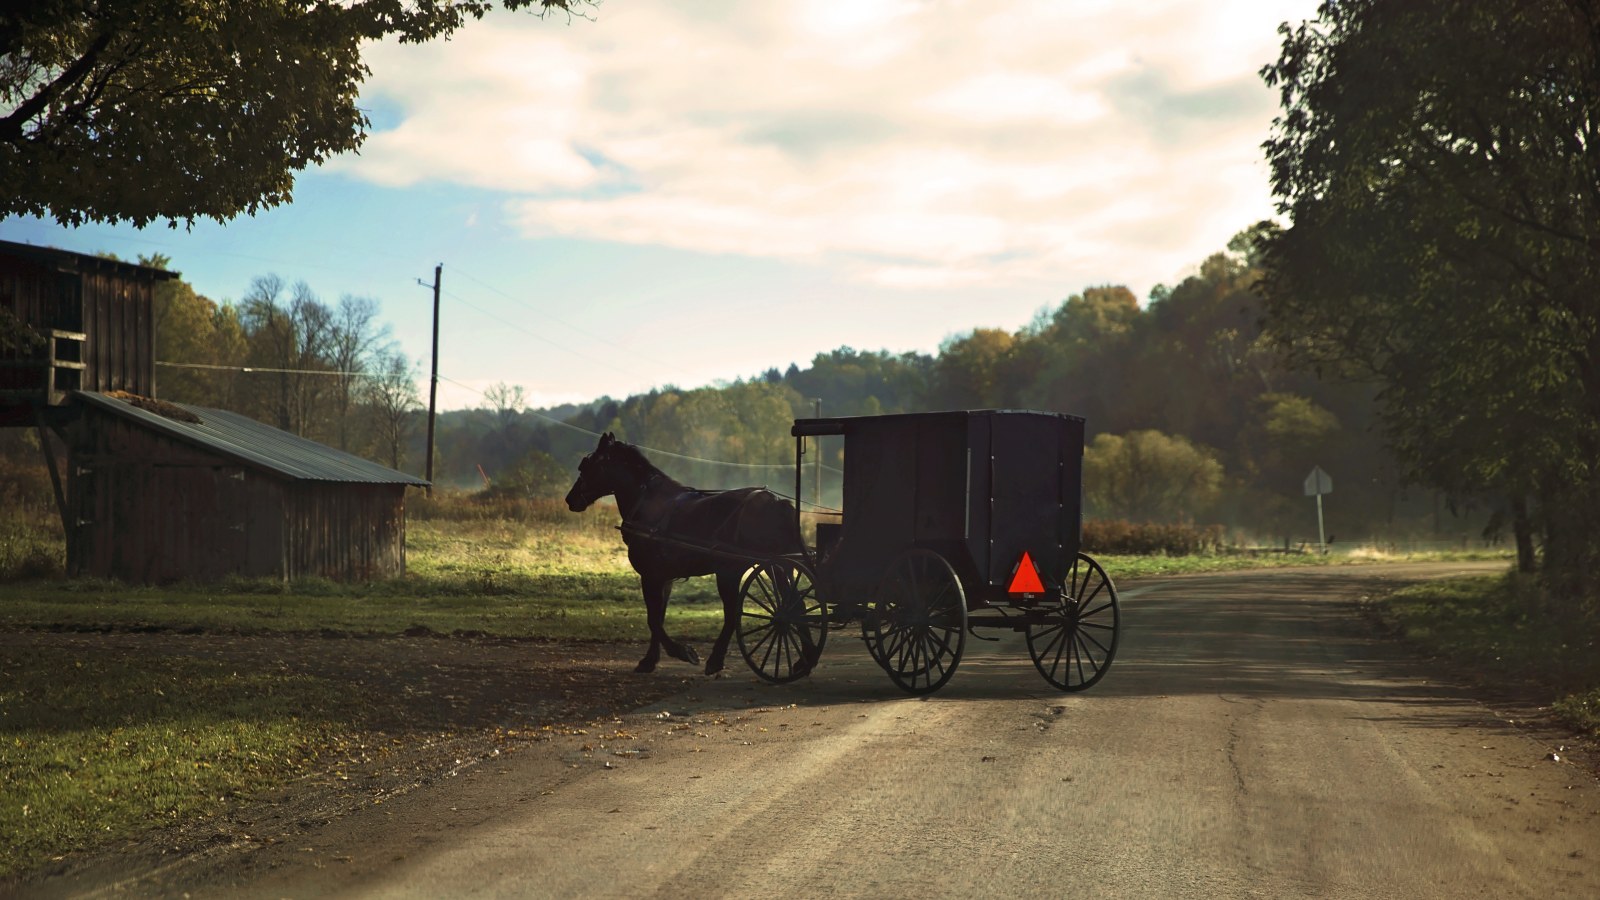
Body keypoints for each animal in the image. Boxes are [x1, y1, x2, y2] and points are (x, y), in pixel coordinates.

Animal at [565, 432, 805, 676]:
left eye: (587, 465)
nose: (570, 499)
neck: (648, 503)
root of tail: (776, 502)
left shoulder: (650, 576)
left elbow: (653, 620)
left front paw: (682, 652)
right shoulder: (664, 578)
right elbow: (659, 617)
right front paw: (649, 660)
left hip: (730, 572)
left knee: (732, 615)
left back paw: (716, 660)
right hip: (777, 566)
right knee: (795, 605)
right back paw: (801, 661)